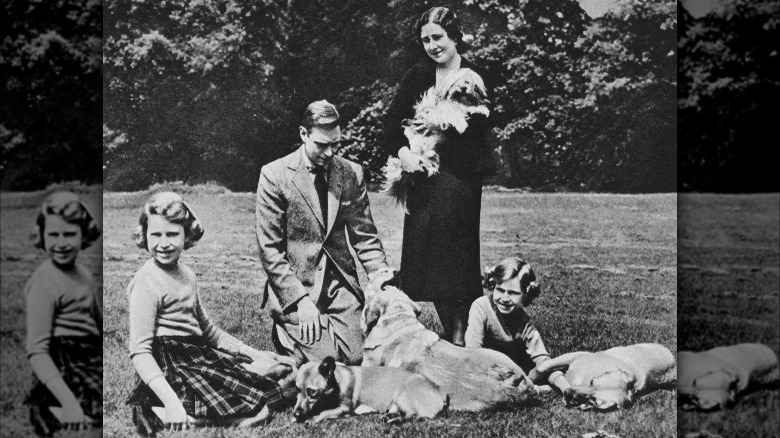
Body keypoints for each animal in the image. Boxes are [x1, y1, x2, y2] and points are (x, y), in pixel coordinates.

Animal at [290, 356, 444, 424]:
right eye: (296, 389)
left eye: (312, 392)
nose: (296, 414)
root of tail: (441, 396)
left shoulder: (344, 408)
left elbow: (324, 412)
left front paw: (314, 418)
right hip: (396, 403)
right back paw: (389, 416)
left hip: (401, 395)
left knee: (414, 415)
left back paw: (395, 420)